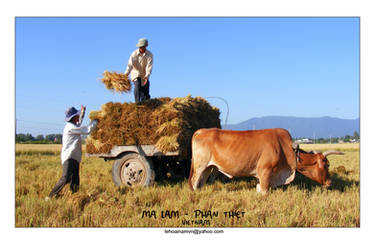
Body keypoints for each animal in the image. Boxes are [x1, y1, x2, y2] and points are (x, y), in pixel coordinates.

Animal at [189, 127, 346, 194]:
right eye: (327, 165)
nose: (330, 183)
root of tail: (202, 130)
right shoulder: (265, 171)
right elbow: (264, 191)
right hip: (200, 166)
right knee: (194, 181)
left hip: (208, 167)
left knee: (201, 181)